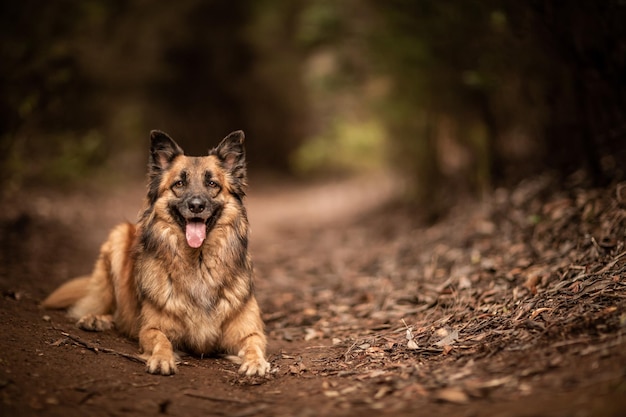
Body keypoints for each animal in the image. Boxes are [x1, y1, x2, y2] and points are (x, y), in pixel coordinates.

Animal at [42, 130, 268, 376]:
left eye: (212, 183)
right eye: (179, 183)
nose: (196, 205)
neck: (198, 263)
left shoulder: (250, 331)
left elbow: (255, 344)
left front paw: (256, 363)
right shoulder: (151, 328)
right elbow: (161, 340)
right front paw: (161, 359)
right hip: (118, 236)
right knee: (105, 305)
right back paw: (97, 319)